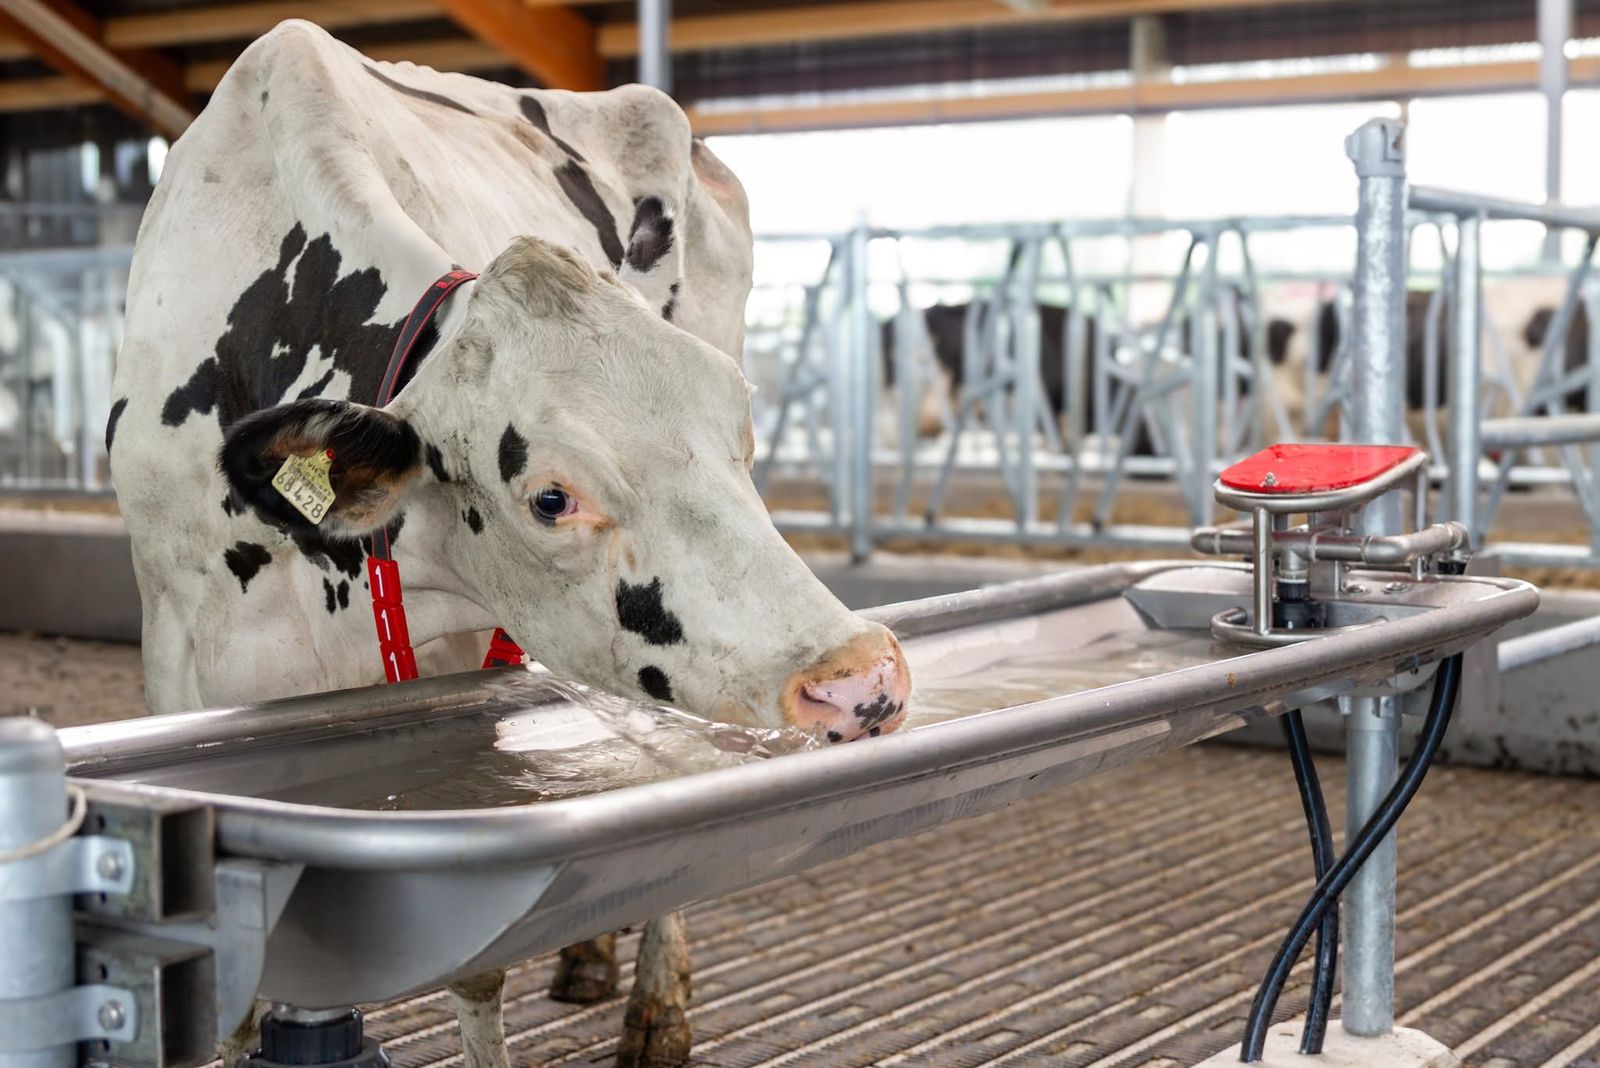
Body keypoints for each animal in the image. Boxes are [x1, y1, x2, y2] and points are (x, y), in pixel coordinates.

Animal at [107, 21, 911, 1068]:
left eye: (737, 423)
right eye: (551, 498)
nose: (863, 679)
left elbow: (477, 968)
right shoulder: (175, 653)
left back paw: (656, 1004)